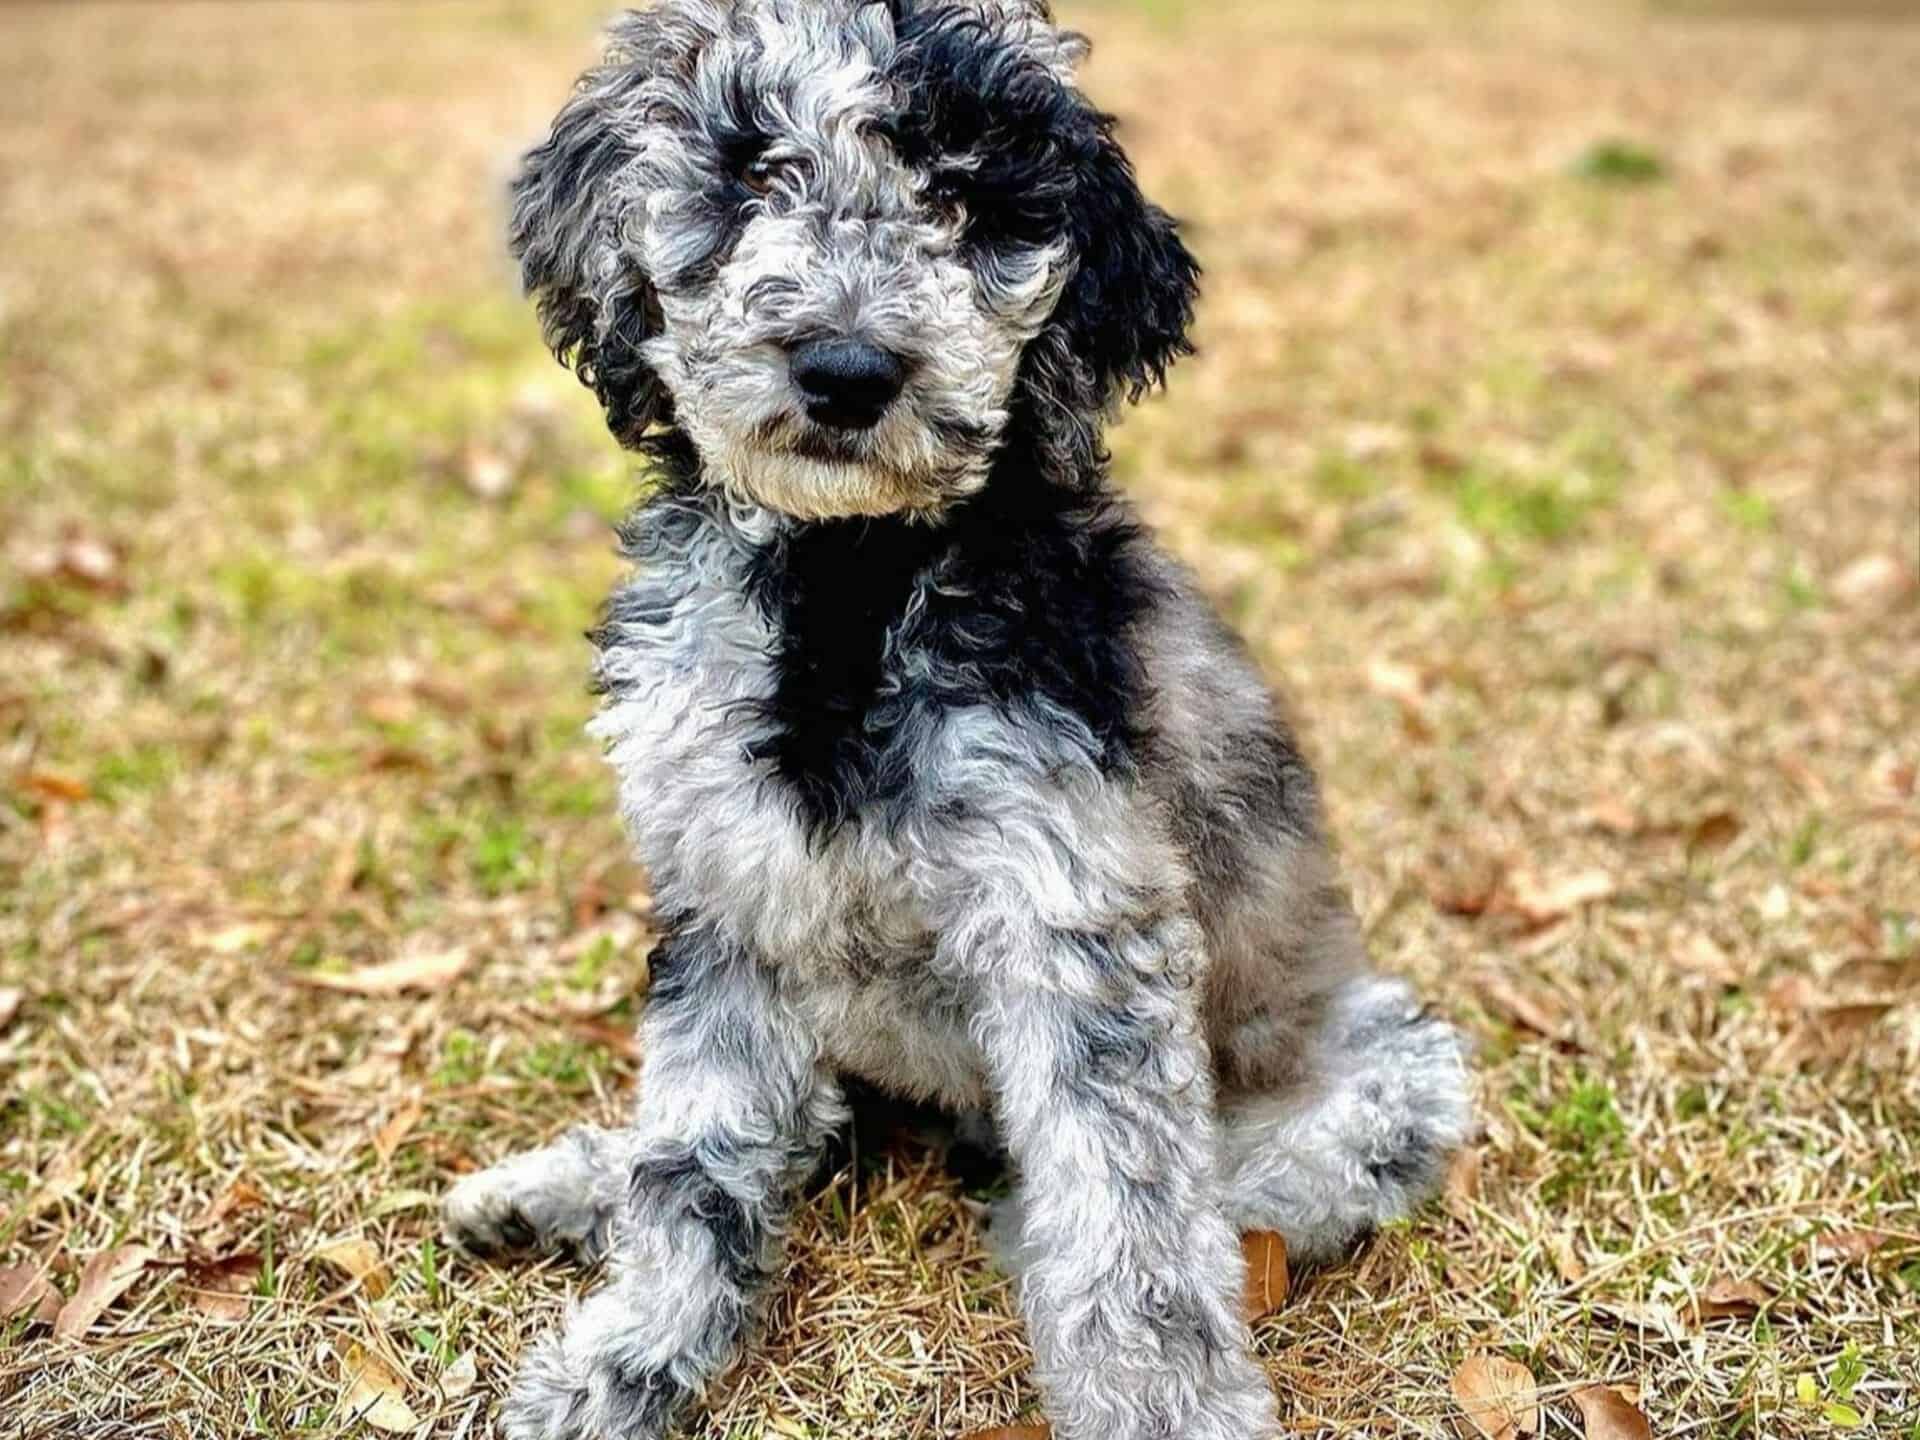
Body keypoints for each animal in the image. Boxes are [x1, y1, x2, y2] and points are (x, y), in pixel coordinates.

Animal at [445, 5, 1466, 1436]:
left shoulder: (1075, 923)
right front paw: (629, 1359)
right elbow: (695, 1156)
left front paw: (1160, 1405)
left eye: (963, 201)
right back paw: (557, 1189)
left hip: (1388, 1068)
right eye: (751, 173)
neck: (846, 589)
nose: (846, 370)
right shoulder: (729, 902)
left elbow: (1129, 1221)